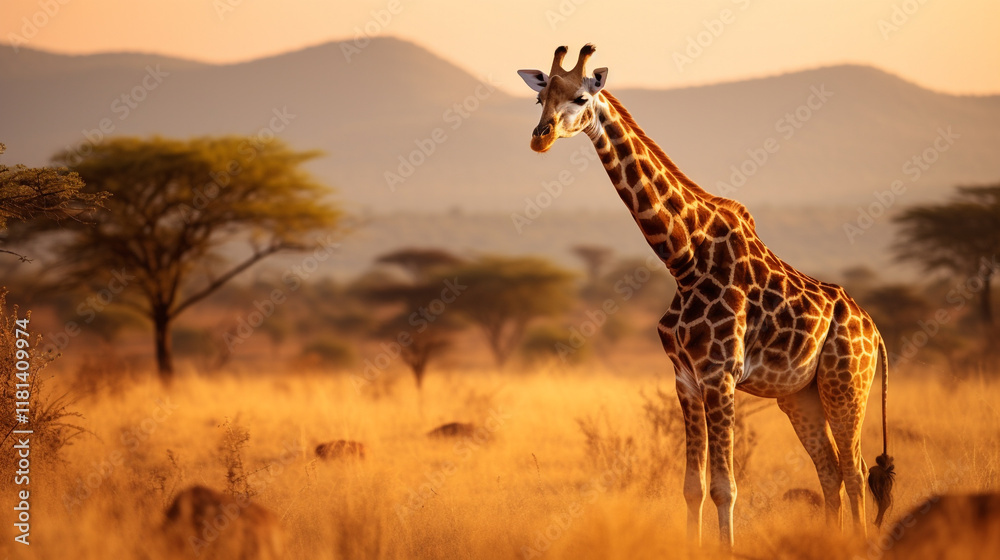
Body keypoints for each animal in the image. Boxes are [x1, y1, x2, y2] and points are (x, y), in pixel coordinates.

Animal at [517, 45, 895, 548]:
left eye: (581, 97)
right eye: (540, 99)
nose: (540, 138)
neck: (683, 258)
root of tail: (875, 333)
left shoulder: (720, 375)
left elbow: (725, 487)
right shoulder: (685, 378)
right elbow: (692, 487)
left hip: (846, 383)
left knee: (854, 471)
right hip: (801, 395)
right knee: (830, 471)